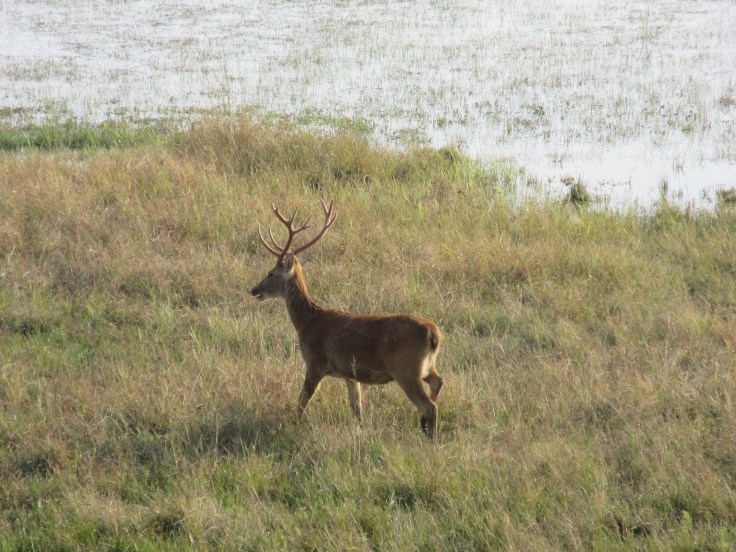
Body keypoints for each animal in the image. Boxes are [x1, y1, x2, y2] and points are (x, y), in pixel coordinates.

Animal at [250, 198, 444, 438]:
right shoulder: (349, 373)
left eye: (270, 273)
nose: (254, 290)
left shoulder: (315, 362)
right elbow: (356, 407)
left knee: (430, 406)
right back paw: (424, 424)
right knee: (438, 381)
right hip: (425, 366)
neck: (306, 322)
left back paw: (430, 434)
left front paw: (291, 427)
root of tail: (433, 334)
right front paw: (360, 431)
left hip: (405, 369)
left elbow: (301, 402)